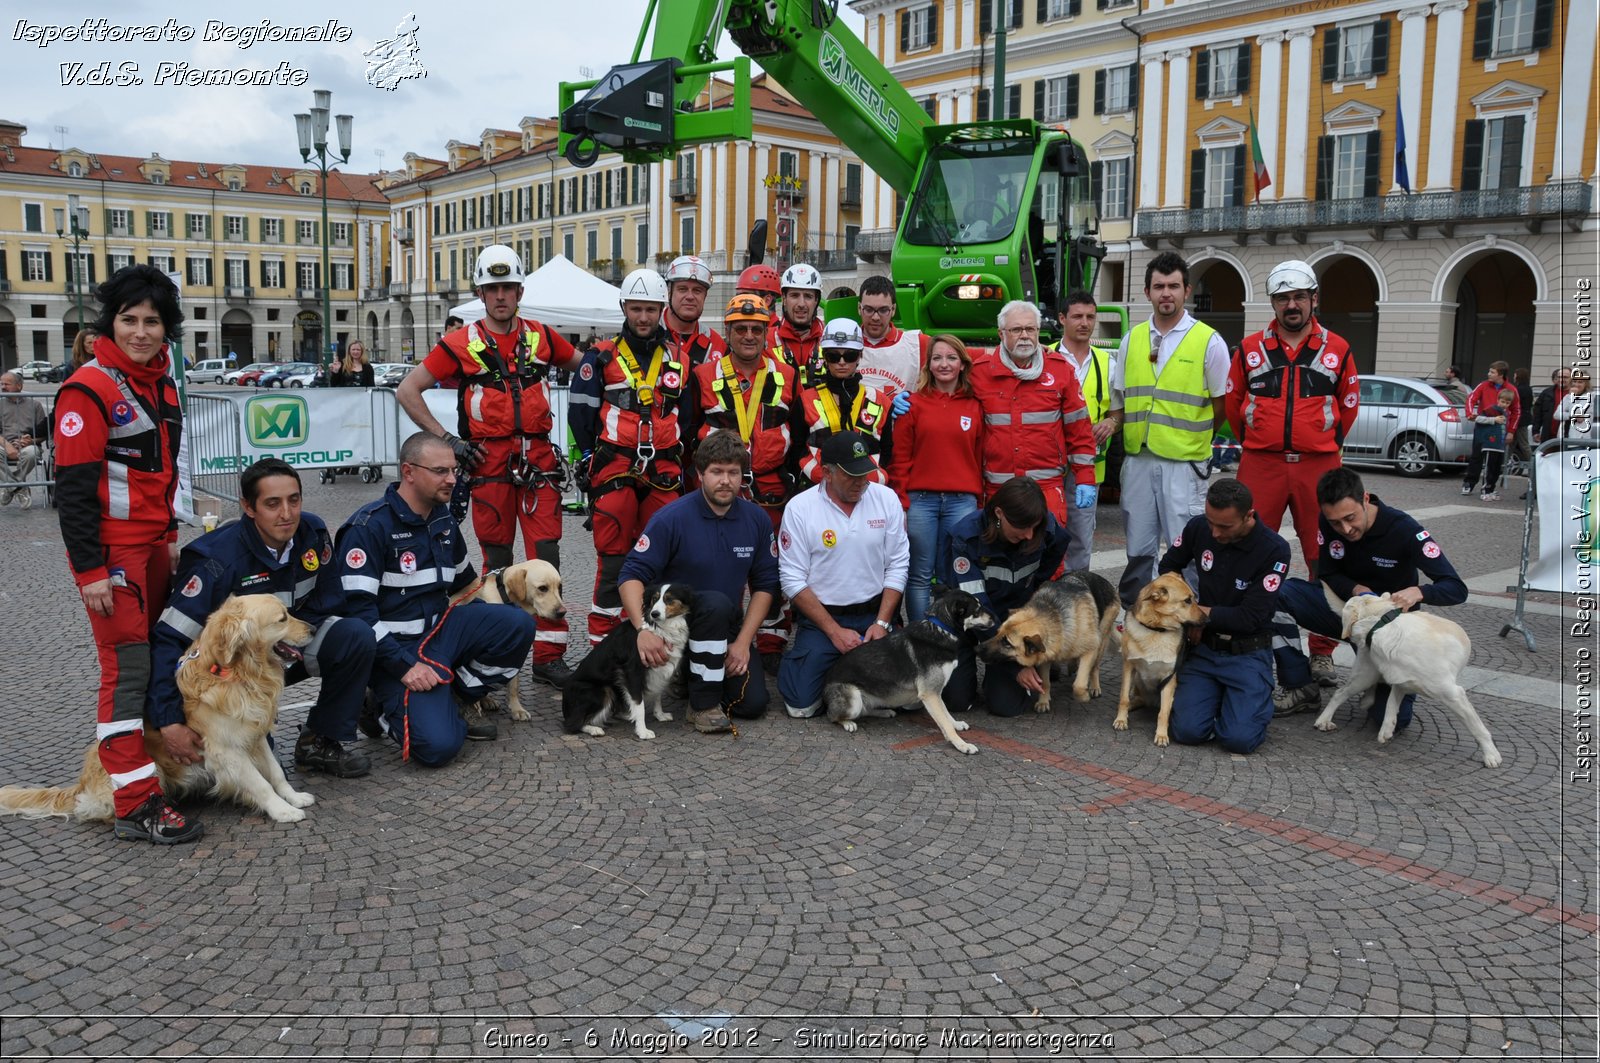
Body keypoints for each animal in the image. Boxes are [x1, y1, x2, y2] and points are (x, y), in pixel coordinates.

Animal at [0, 592, 318, 826]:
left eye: (288, 612)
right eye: (282, 618)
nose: (314, 628)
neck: (239, 674)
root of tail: (81, 783)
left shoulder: (254, 734)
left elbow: (275, 773)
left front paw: (294, 797)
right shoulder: (226, 750)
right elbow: (260, 783)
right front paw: (282, 811)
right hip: (149, 770)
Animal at [451, 557, 569, 723]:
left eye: (559, 587)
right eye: (542, 588)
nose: (562, 612)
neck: (507, 600)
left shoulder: (515, 651)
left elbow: (514, 685)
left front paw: (517, 709)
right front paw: (474, 706)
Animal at [560, 582, 691, 739]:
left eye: (669, 599)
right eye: (654, 599)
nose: (654, 614)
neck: (661, 628)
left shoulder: (658, 669)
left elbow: (657, 694)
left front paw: (660, 715)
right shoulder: (632, 672)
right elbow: (639, 704)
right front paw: (642, 731)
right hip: (602, 690)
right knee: (573, 723)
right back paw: (594, 729)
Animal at [825, 589, 998, 755]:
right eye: (977, 610)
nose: (996, 619)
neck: (941, 628)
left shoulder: (936, 692)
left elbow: (946, 713)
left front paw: (956, 724)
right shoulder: (930, 694)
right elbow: (945, 723)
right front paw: (962, 745)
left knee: (865, 710)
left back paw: (885, 712)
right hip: (853, 699)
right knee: (834, 716)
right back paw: (848, 723)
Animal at [1120, 576, 1203, 742]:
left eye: (1193, 598)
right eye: (1187, 600)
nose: (1207, 618)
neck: (1157, 630)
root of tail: (1152, 702)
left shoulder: (1169, 678)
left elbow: (1164, 712)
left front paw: (1162, 735)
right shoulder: (1128, 667)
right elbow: (1123, 698)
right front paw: (1120, 719)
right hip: (1137, 679)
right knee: (1139, 699)